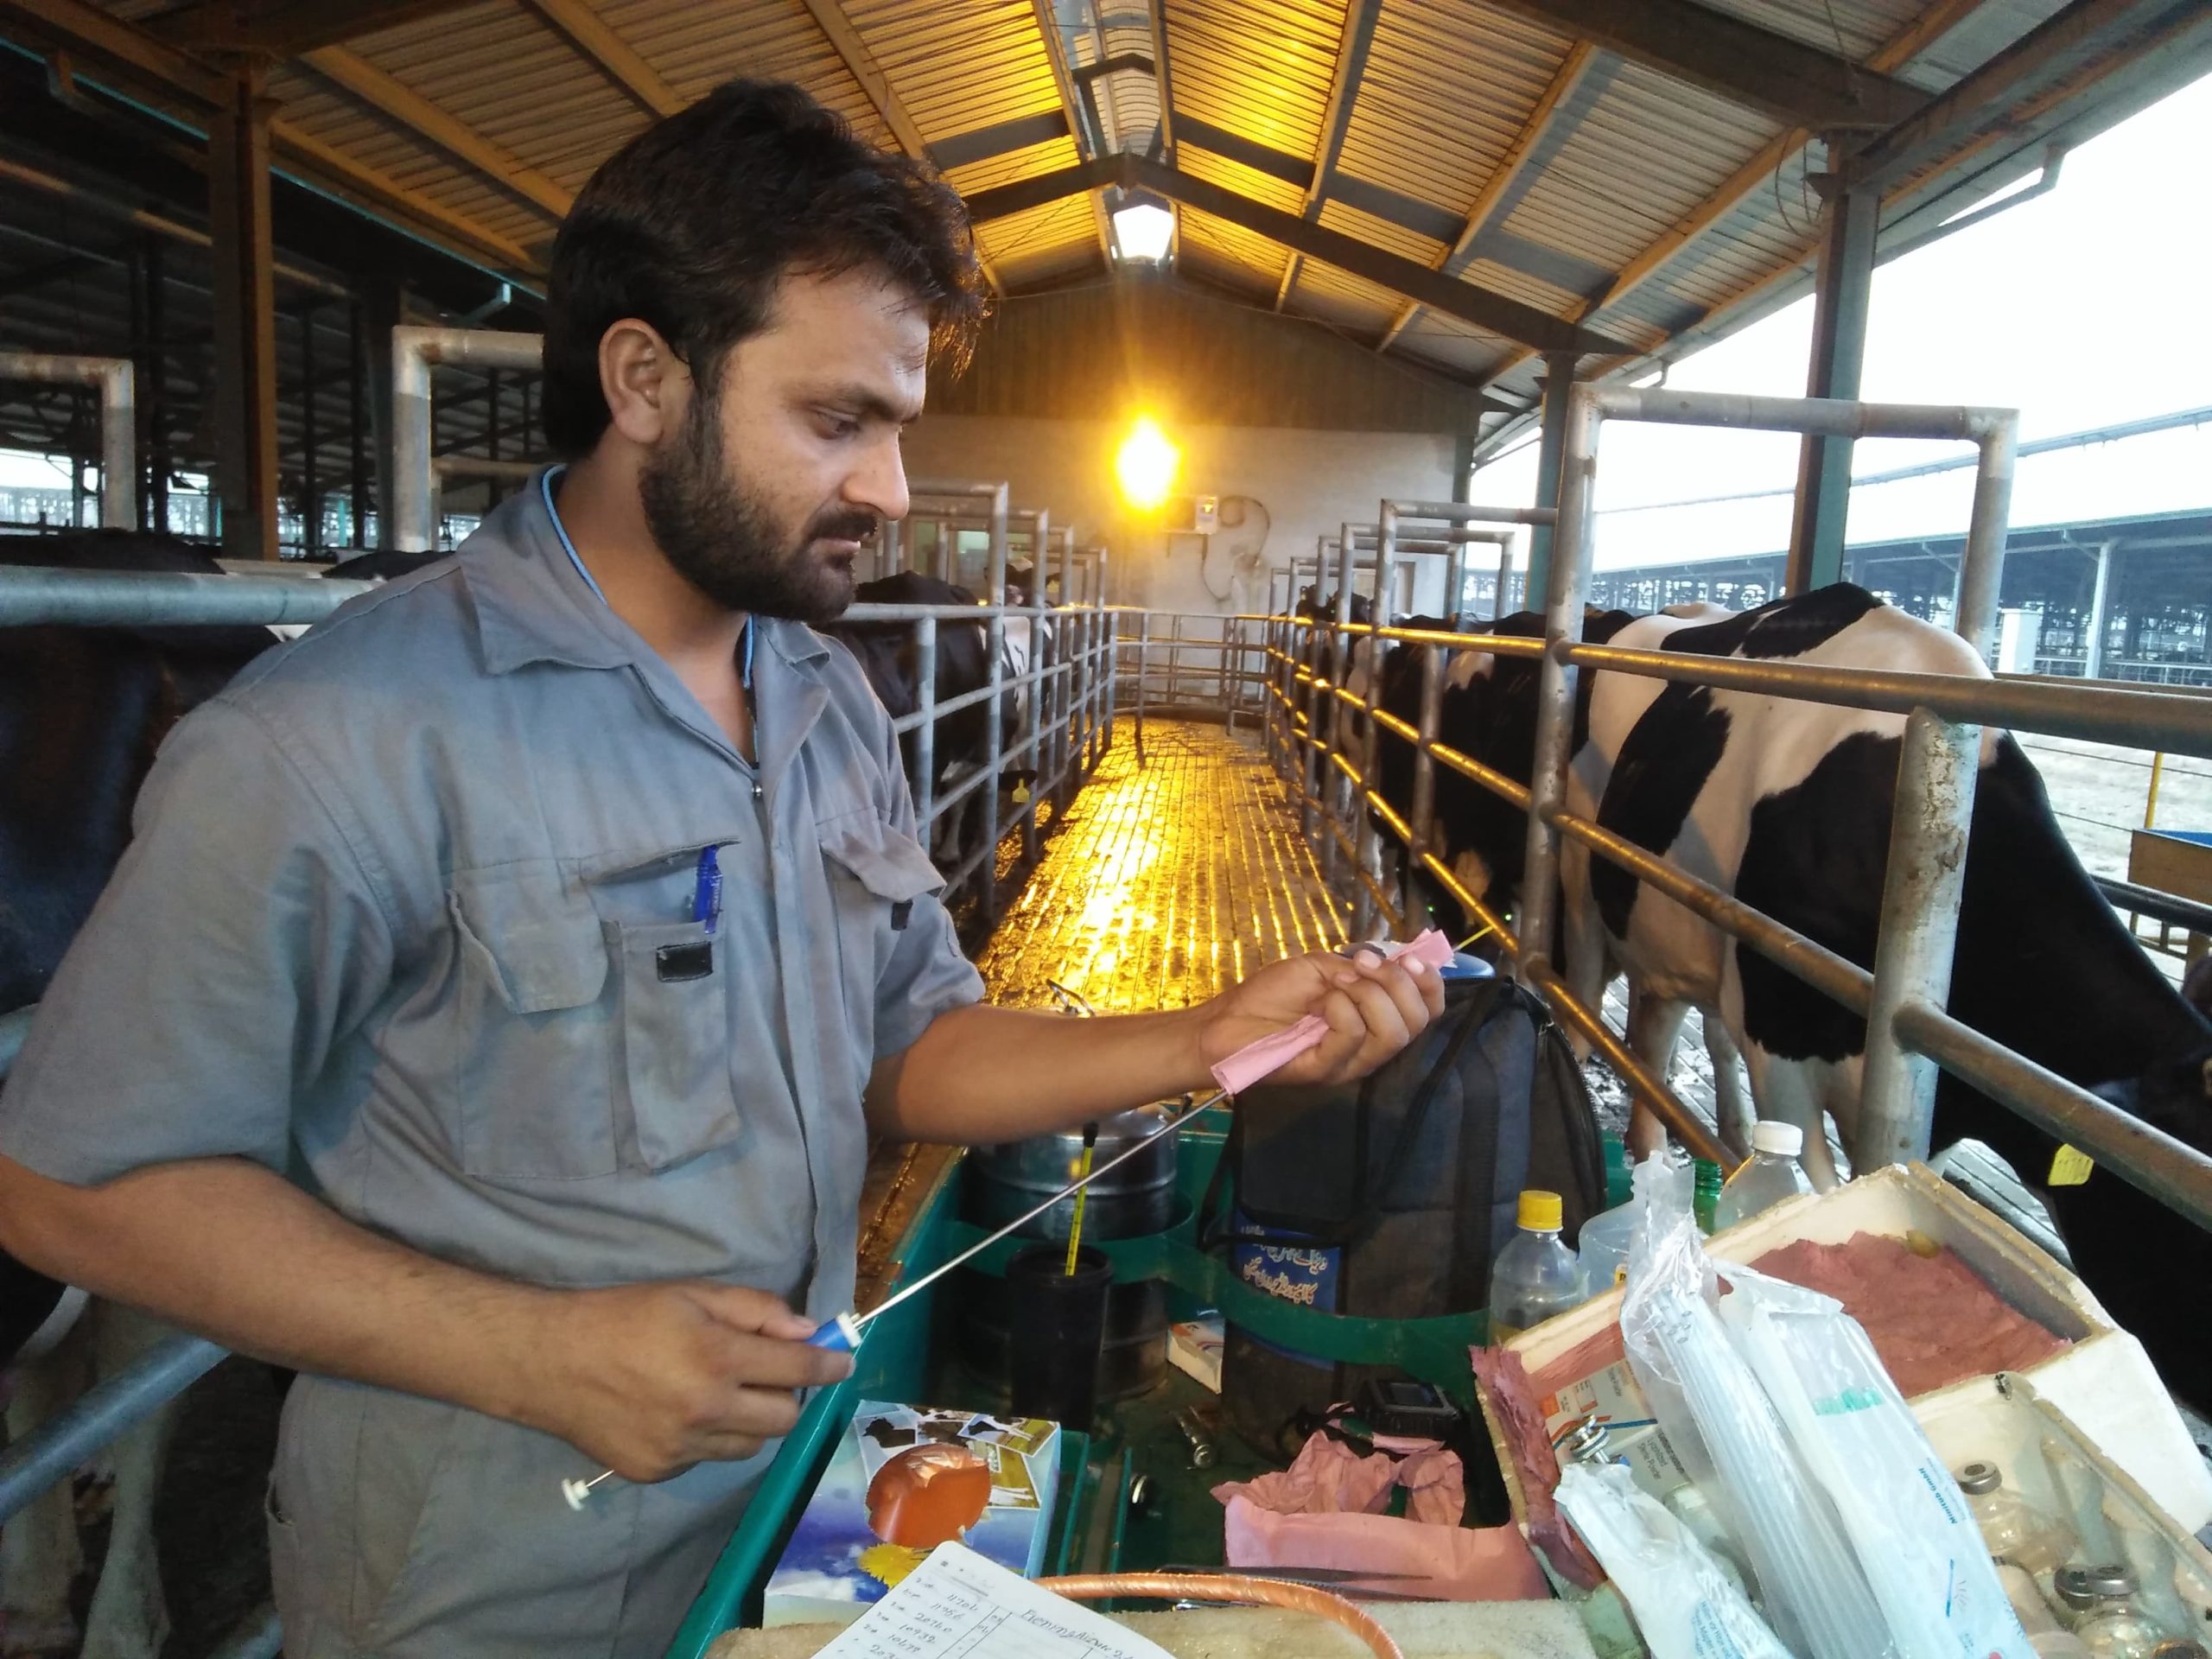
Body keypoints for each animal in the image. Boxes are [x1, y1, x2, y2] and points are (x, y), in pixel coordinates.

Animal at [1415, 593, 2212, 1407]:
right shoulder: (1783, 1050)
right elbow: (1812, 1187)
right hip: (1580, 889)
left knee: (1659, 1028)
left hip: (1667, 933)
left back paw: (1660, 1147)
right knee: (1587, 1001)